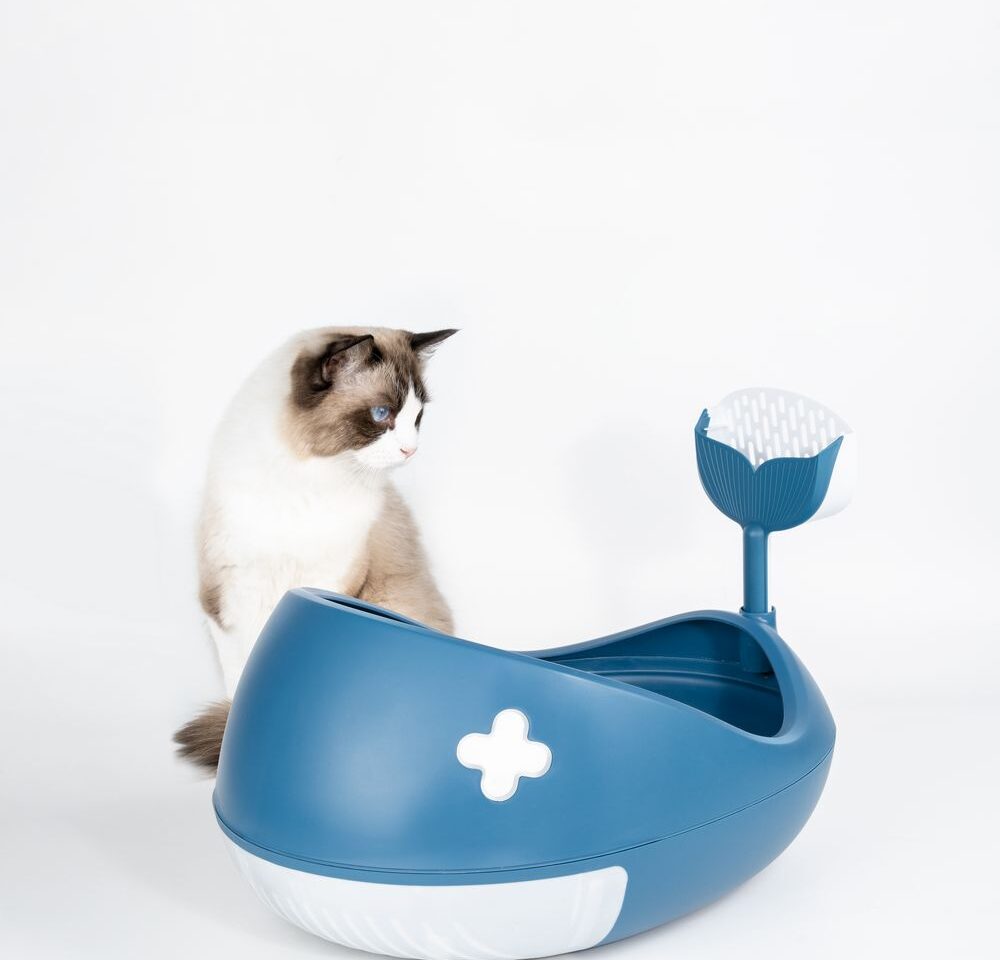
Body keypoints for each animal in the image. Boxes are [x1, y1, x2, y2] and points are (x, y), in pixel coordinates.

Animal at [174, 326, 455, 770]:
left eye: (417, 418)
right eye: (381, 414)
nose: (411, 450)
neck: (313, 482)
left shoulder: (330, 580)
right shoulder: (229, 599)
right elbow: (242, 684)